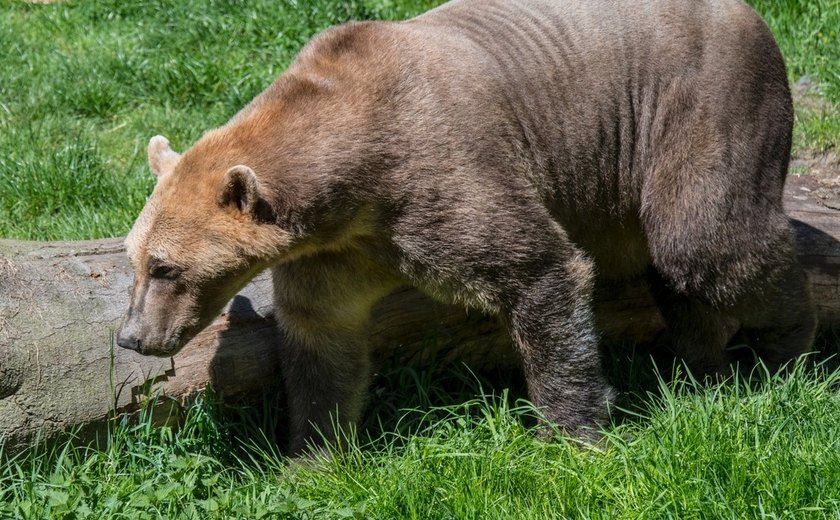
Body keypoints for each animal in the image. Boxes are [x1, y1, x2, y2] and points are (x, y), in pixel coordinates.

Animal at [116, 0, 812, 452]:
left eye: (166, 267)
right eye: (134, 260)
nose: (132, 337)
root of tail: (752, 16)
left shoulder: (439, 175)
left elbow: (539, 269)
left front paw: (571, 433)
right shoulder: (338, 250)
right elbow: (322, 338)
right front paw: (312, 454)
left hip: (701, 103)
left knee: (707, 243)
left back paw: (787, 350)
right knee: (679, 274)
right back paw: (703, 362)